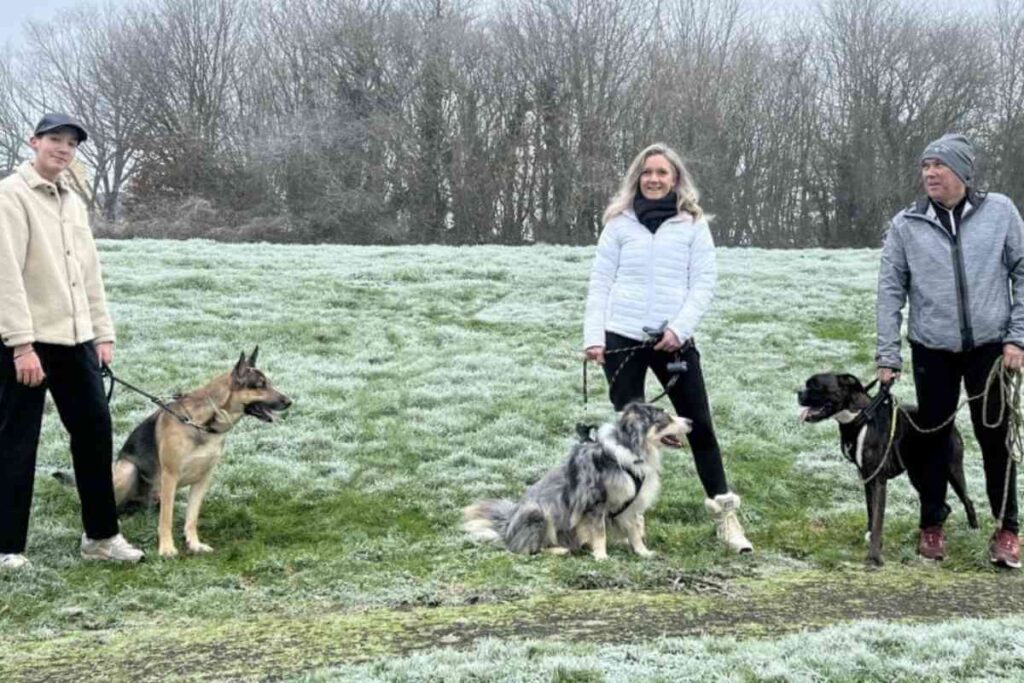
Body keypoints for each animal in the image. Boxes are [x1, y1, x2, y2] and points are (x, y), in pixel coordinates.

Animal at [56, 350, 290, 557]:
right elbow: (166, 519)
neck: (203, 423)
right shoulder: (170, 476)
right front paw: (167, 548)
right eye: (260, 385)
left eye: (268, 383)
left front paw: (194, 544)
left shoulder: (203, 480)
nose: (289, 402)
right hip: (127, 469)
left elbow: (192, 517)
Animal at [466, 403, 692, 557]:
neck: (629, 451)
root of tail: (506, 528)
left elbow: (635, 530)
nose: (691, 421)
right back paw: (559, 550)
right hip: (537, 512)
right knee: (526, 549)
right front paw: (601, 556)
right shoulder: (595, 502)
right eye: (666, 418)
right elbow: (599, 532)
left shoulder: (630, 505)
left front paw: (643, 552)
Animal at [794, 374, 978, 565]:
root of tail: (950, 424)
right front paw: (871, 537)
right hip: (919, 476)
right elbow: (871, 510)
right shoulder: (867, 477)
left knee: (967, 501)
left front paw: (874, 557)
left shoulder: (878, 480)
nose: (798, 392)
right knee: (943, 506)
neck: (859, 417)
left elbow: (878, 518)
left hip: (952, 470)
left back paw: (973, 531)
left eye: (816, 386)